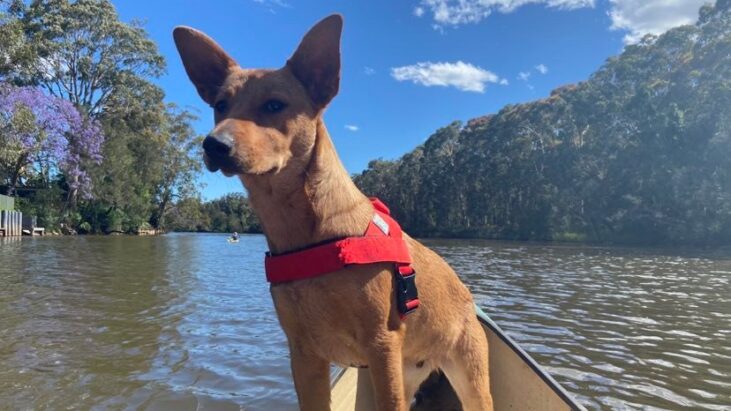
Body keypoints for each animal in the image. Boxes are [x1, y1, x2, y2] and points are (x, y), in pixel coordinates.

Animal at [173, 14, 492, 410]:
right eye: (220, 104)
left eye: (274, 105)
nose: (214, 144)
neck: (307, 235)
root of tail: (468, 298)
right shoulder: (304, 354)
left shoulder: (381, 346)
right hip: (407, 376)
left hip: (469, 379)